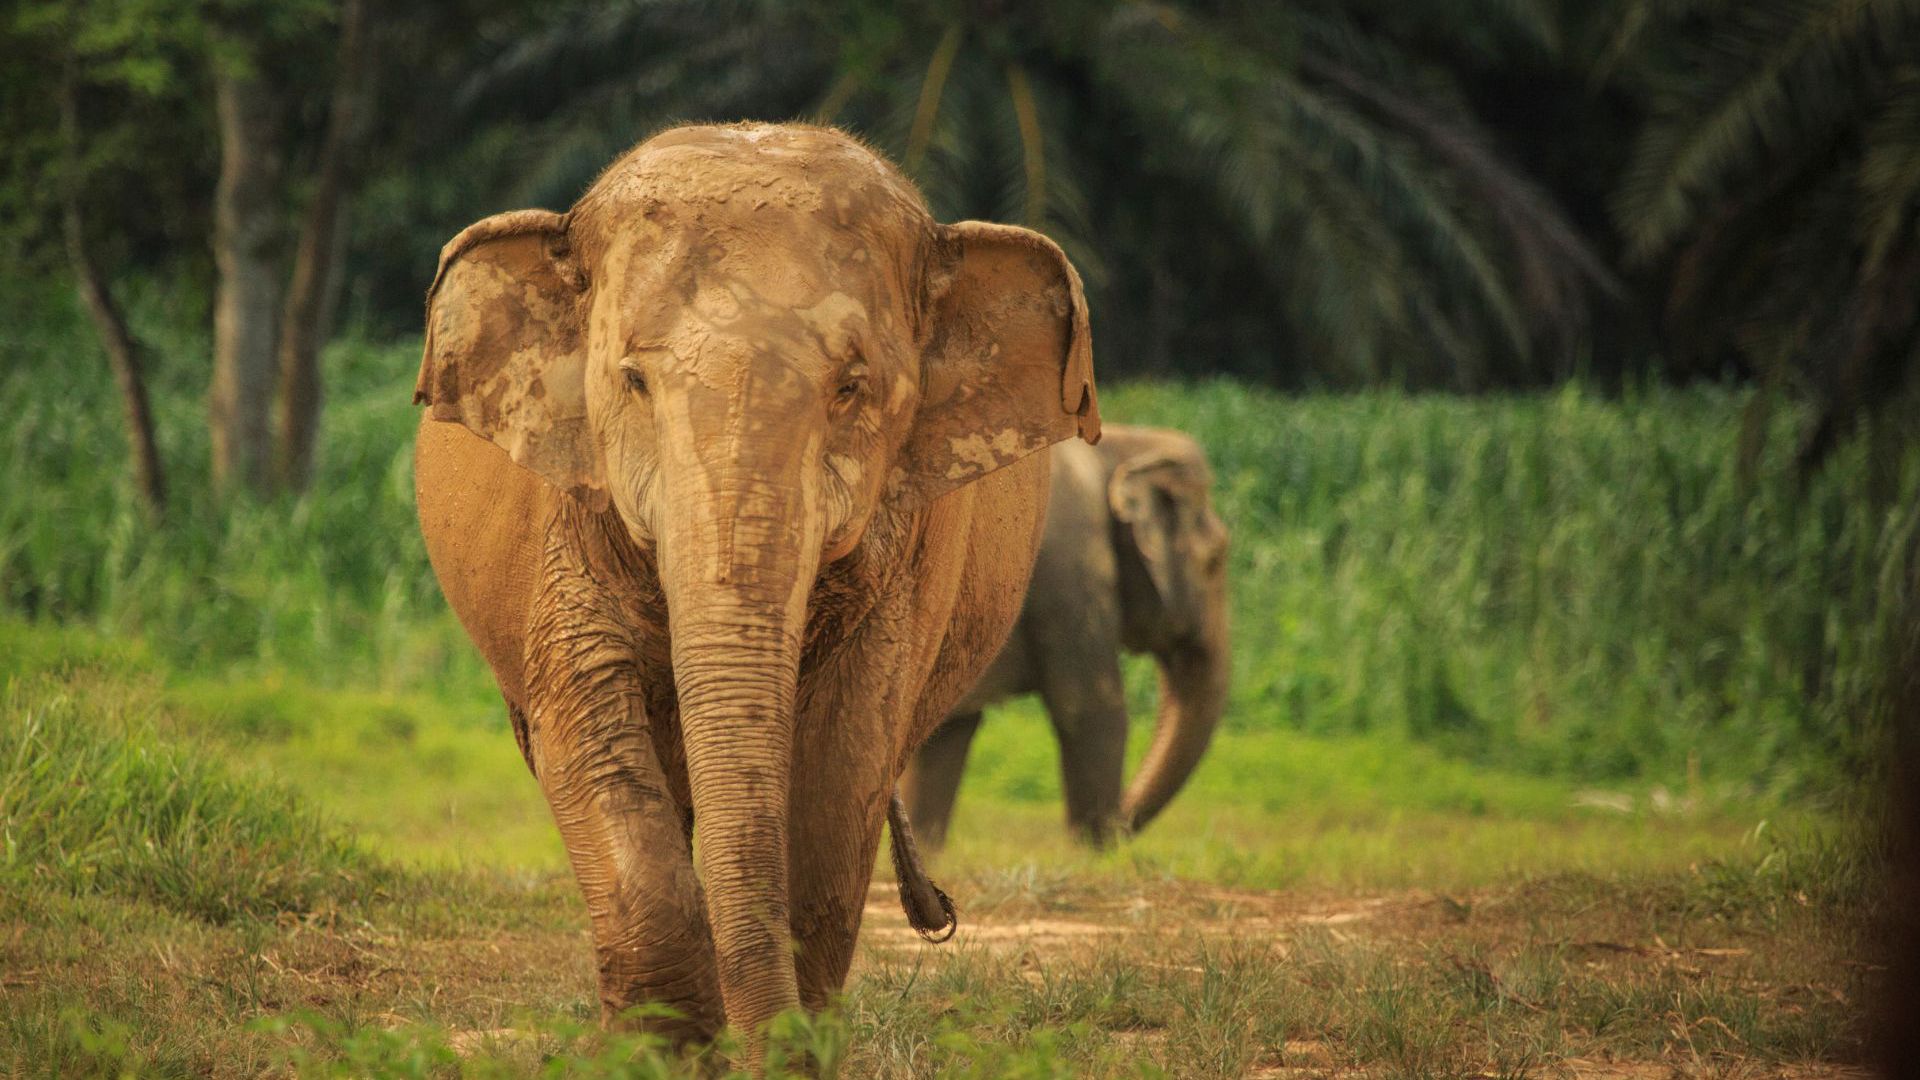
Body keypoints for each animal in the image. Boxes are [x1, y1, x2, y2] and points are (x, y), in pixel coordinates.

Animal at [411, 123, 1099, 1061]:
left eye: (852, 386)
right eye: (632, 381)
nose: (942, 914)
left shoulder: (908, 553)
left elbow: (842, 766)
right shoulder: (566, 523)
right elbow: (590, 730)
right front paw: (659, 1055)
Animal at [901, 424, 1229, 848]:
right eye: (1215, 561)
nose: (1120, 828)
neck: (1122, 444)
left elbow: (948, 733)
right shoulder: (1074, 574)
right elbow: (1092, 710)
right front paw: (1092, 852)